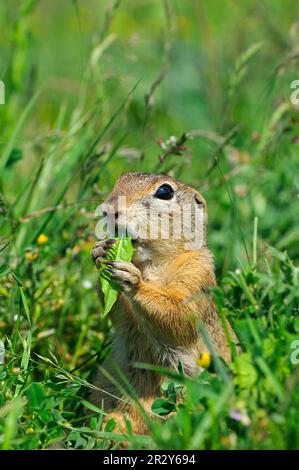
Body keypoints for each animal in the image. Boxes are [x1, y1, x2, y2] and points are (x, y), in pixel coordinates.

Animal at [90, 172, 238, 434]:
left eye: (164, 192)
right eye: (120, 179)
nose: (108, 209)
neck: (152, 264)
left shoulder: (196, 273)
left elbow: (179, 312)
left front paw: (132, 280)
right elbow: (117, 312)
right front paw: (99, 250)